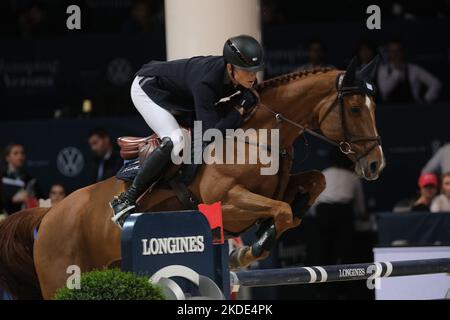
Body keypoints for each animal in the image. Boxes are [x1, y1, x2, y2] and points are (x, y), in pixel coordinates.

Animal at [0, 56, 384, 298]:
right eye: (354, 109)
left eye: (373, 107)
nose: (375, 165)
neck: (257, 137)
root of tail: (49, 214)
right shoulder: (226, 200)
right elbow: (282, 210)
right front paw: (247, 251)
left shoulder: (280, 185)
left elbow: (313, 185)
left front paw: (261, 237)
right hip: (61, 278)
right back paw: (123, 205)